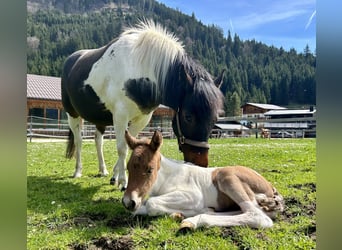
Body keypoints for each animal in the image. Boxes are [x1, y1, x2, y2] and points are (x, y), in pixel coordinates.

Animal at [61, 19, 224, 188]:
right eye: (188, 117)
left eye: (216, 119)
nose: (200, 163)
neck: (139, 69)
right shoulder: (120, 116)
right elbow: (122, 148)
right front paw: (123, 181)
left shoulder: (142, 119)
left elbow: (129, 144)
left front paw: (115, 176)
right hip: (72, 114)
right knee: (79, 141)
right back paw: (77, 171)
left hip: (100, 118)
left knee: (98, 140)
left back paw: (103, 170)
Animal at [121, 130, 284, 231]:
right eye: (128, 167)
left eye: (150, 169)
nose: (129, 202)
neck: (169, 177)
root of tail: (270, 186)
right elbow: (140, 209)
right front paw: (180, 214)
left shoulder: (193, 196)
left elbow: (151, 204)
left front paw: (186, 212)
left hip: (227, 177)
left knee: (258, 216)